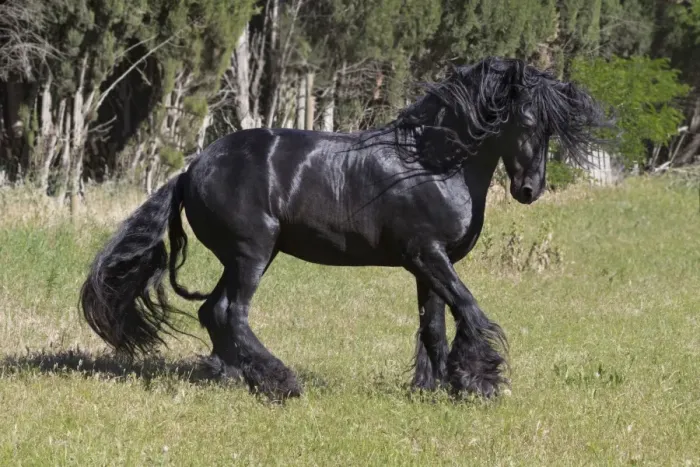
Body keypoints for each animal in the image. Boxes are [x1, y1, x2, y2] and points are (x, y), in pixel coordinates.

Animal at [79, 57, 608, 401]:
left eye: (551, 129)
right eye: (526, 120)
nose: (529, 189)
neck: (432, 163)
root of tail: (192, 170)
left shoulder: (428, 264)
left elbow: (434, 326)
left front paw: (433, 387)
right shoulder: (428, 255)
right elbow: (470, 311)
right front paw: (482, 382)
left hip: (246, 256)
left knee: (213, 312)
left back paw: (235, 377)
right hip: (252, 253)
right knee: (231, 312)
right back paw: (281, 382)